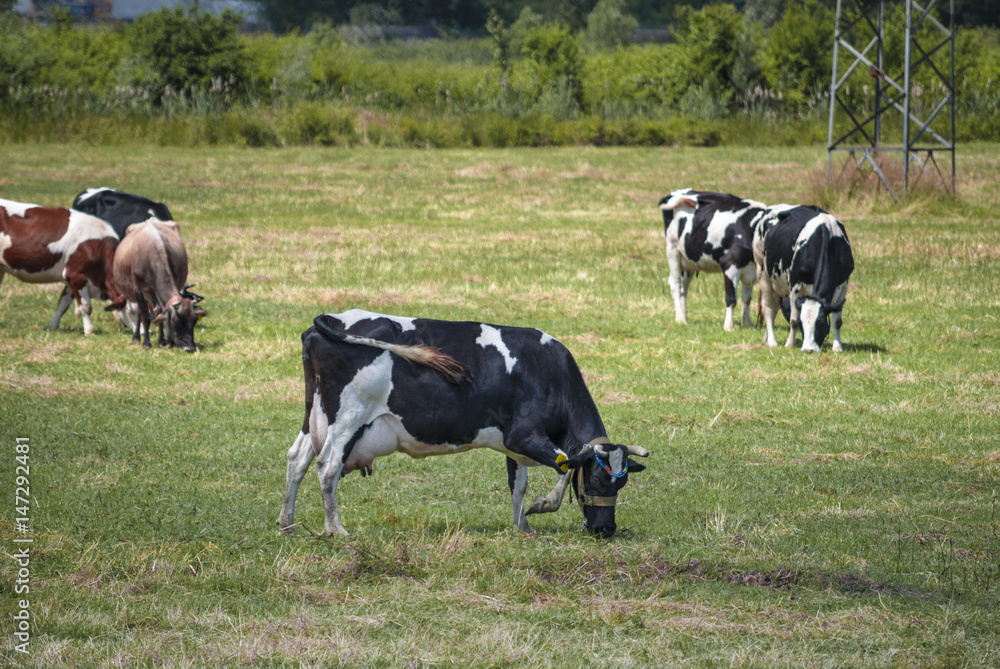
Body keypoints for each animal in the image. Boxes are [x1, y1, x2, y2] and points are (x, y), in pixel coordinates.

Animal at [0, 197, 121, 334]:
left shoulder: (70, 280)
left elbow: (62, 305)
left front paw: (52, 327)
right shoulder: (77, 276)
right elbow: (85, 307)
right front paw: (90, 331)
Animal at [107, 220, 205, 354]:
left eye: (194, 321)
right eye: (175, 322)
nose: (189, 348)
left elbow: (160, 315)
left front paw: (163, 341)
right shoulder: (139, 290)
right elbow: (146, 317)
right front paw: (146, 343)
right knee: (140, 313)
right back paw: (136, 337)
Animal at [276, 308, 648, 536]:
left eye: (622, 484)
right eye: (599, 480)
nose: (606, 530)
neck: (549, 373)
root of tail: (331, 320)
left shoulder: (515, 443)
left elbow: (519, 483)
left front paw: (522, 527)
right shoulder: (523, 435)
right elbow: (566, 463)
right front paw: (543, 506)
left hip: (315, 416)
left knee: (297, 459)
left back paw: (287, 523)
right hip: (348, 417)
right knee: (328, 467)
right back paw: (335, 529)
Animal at [656, 188, 764, 328]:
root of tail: (676, 192)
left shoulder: (750, 270)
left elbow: (746, 299)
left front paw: (746, 324)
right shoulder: (730, 263)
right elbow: (731, 298)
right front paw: (729, 326)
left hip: (688, 260)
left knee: (683, 289)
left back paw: (684, 318)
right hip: (672, 248)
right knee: (675, 284)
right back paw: (679, 318)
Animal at [752, 204, 856, 352]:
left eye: (821, 322)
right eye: (802, 323)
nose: (808, 349)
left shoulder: (843, 285)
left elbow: (837, 321)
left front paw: (837, 347)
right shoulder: (794, 286)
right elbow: (793, 320)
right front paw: (790, 344)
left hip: (777, 284)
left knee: (775, 308)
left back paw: (766, 339)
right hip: (762, 272)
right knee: (768, 308)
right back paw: (772, 341)